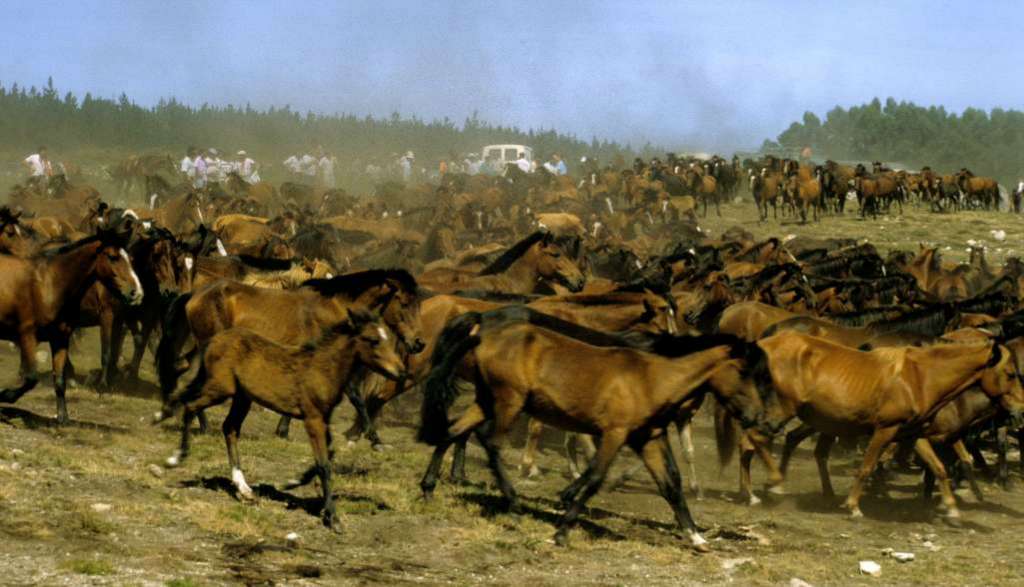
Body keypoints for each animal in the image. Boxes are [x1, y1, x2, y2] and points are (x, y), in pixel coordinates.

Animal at [0, 226, 145, 424]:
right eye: (113, 257)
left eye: (130, 259)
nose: (136, 292)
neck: (49, 285)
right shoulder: (27, 335)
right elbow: (31, 378)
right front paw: (5, 395)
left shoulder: (60, 338)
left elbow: (60, 379)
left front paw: (63, 416)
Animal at [155, 309, 403, 528]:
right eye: (373, 340)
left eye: (388, 339)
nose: (400, 372)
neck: (322, 368)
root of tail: (213, 340)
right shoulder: (312, 418)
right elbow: (324, 464)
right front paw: (332, 518)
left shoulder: (324, 419)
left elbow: (329, 455)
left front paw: (292, 483)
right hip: (220, 389)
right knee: (190, 406)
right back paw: (175, 456)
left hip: (242, 397)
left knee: (229, 427)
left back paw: (244, 489)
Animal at [415, 309, 782, 553]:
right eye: (745, 371)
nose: (759, 418)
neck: (653, 376)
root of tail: (483, 332)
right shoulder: (615, 433)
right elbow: (595, 477)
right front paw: (562, 529)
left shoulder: (649, 437)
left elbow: (671, 483)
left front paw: (696, 538)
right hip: (509, 401)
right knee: (490, 443)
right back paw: (515, 506)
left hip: (487, 401)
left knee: (452, 430)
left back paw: (429, 489)